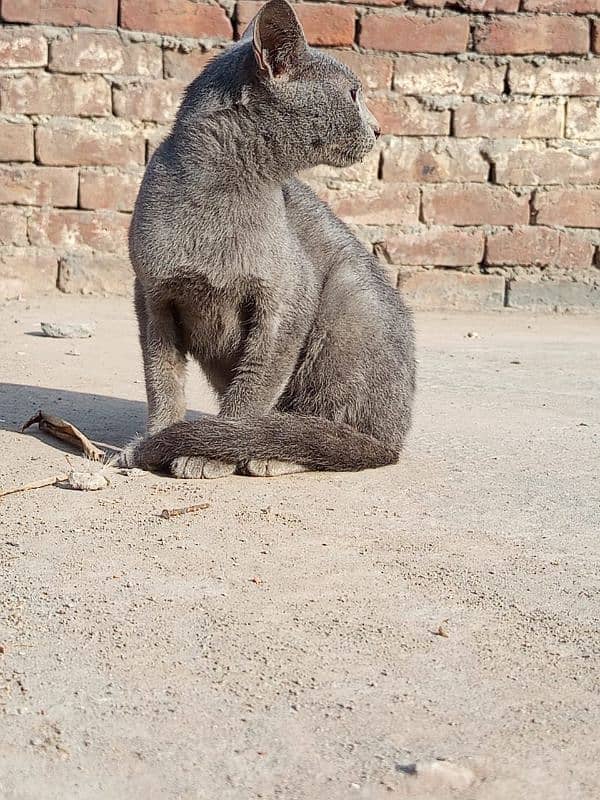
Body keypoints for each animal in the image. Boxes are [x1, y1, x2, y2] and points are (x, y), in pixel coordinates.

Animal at [119, 0, 414, 476]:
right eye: (352, 94)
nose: (379, 128)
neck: (218, 197)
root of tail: (396, 441)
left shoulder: (287, 302)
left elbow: (253, 387)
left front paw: (209, 452)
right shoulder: (152, 296)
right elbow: (161, 380)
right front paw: (155, 439)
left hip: (349, 296)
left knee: (333, 435)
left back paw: (272, 453)